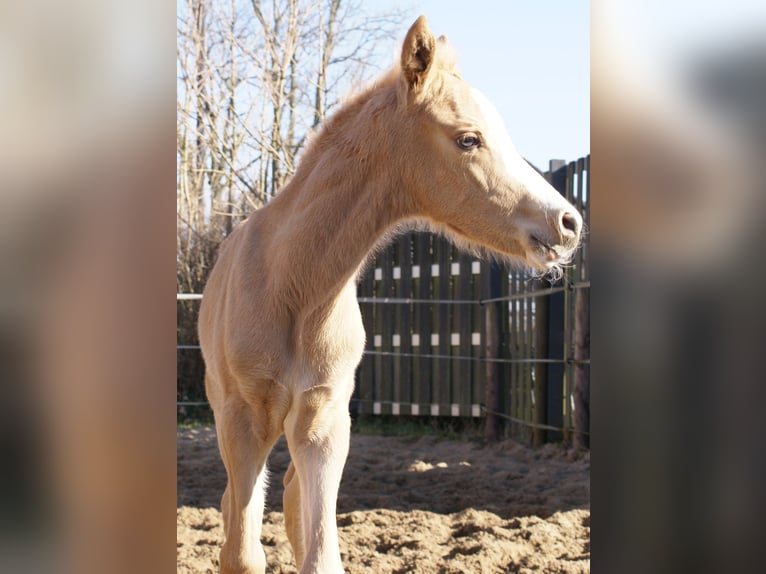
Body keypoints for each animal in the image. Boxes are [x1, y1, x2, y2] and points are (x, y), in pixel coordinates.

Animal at [198, 14, 584, 574]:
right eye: (469, 139)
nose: (569, 223)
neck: (291, 287)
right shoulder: (241, 420)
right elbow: (241, 551)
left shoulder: (325, 420)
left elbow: (319, 552)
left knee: (291, 498)